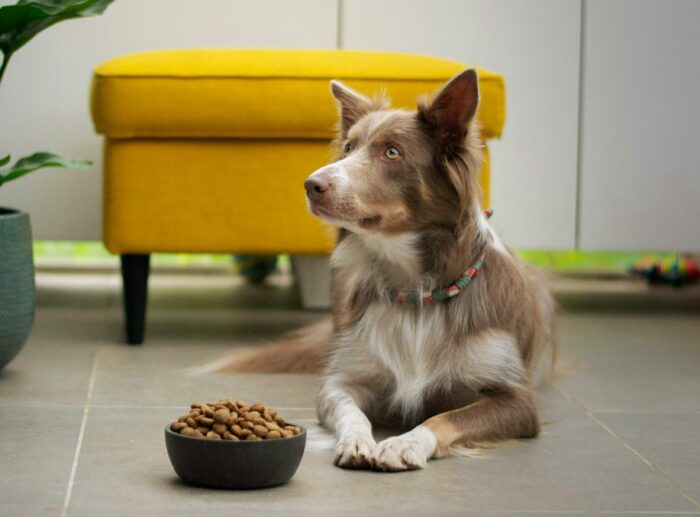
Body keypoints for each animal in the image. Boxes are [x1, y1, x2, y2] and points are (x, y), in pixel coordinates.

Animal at [205, 68, 556, 472]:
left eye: (392, 152)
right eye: (347, 148)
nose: (311, 185)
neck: (416, 291)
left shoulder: (517, 401)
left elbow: (445, 417)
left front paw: (405, 443)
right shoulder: (342, 380)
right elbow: (350, 410)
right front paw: (358, 441)